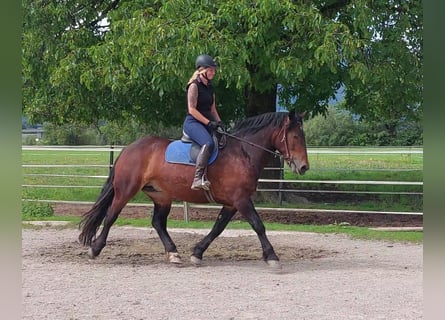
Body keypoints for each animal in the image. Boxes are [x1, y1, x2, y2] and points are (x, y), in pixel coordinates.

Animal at [79, 110, 308, 268]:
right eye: (295, 137)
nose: (304, 167)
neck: (243, 152)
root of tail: (129, 148)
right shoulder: (241, 200)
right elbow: (258, 225)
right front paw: (272, 257)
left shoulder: (232, 203)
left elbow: (217, 228)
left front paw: (197, 253)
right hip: (126, 190)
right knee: (111, 215)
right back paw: (95, 249)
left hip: (161, 196)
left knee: (158, 223)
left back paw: (173, 253)